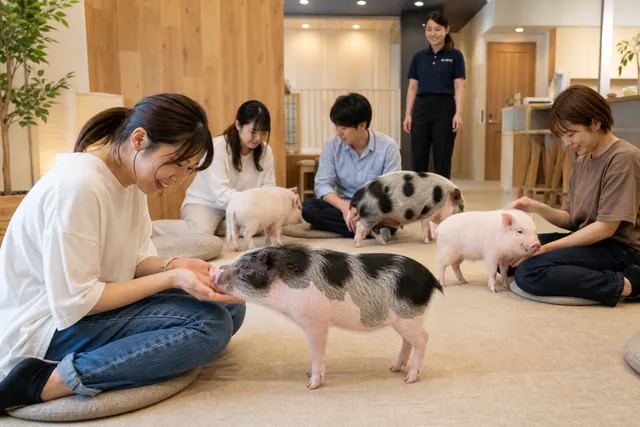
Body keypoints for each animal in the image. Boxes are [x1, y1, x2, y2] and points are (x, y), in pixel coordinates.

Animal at [210, 244, 443, 389]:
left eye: (245, 267)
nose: (214, 272)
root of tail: (431, 278)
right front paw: (308, 375)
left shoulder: (315, 321)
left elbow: (317, 352)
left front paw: (311, 384)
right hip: (401, 320)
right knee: (408, 341)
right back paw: (394, 368)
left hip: (409, 317)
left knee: (424, 339)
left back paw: (410, 379)